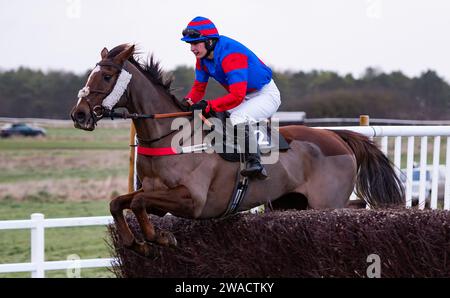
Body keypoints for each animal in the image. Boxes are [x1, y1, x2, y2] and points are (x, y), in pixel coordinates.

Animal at [69, 44, 404, 256]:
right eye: (90, 75)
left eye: (107, 76)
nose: (79, 114)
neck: (172, 137)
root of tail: (337, 137)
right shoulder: (156, 197)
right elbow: (119, 203)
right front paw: (136, 244)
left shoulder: (192, 200)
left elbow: (137, 203)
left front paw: (159, 237)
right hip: (290, 203)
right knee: (355, 206)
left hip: (325, 203)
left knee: (356, 208)